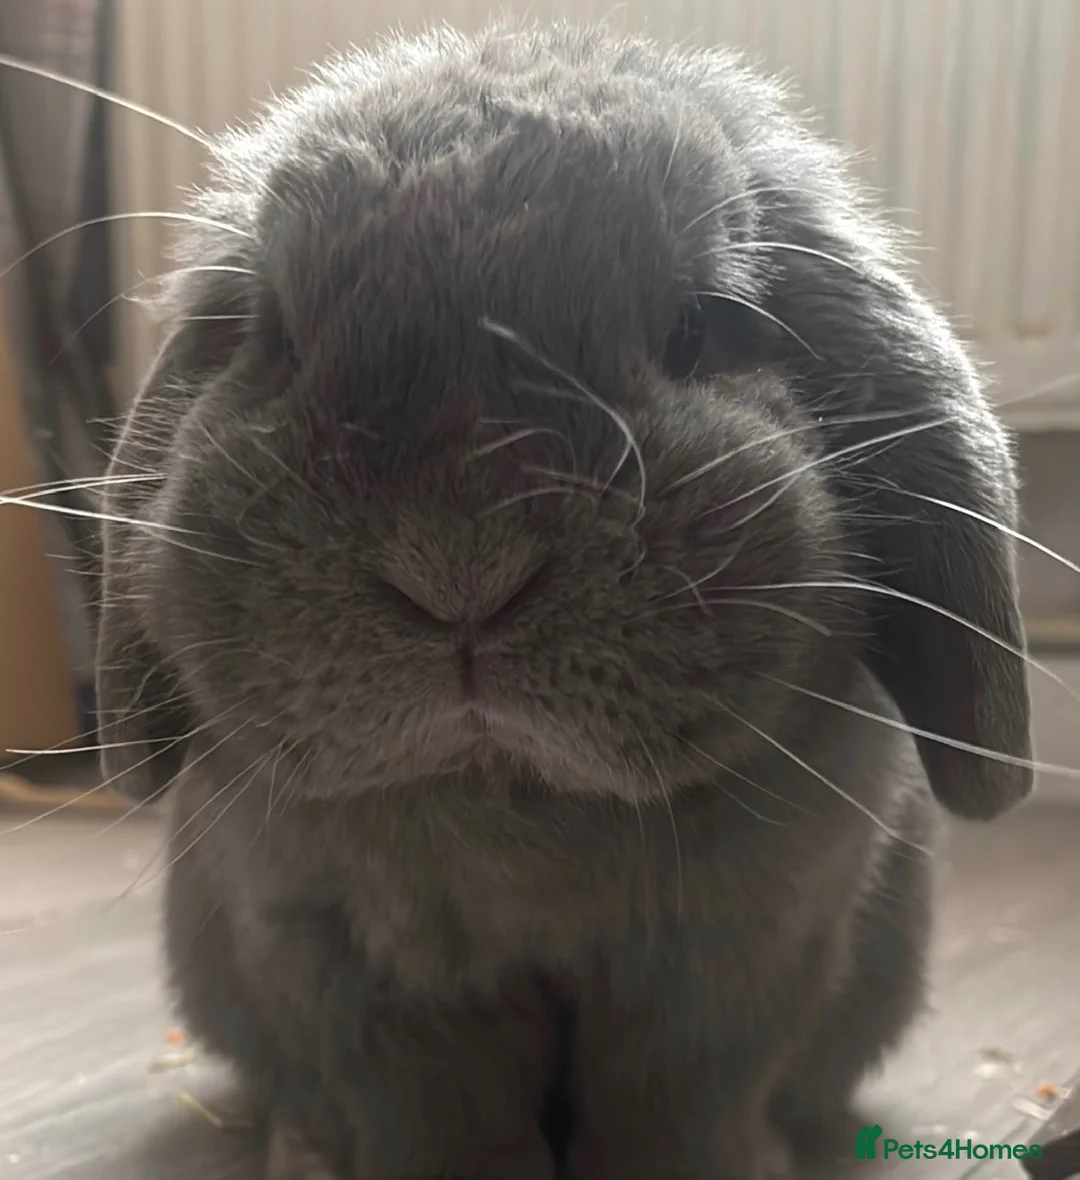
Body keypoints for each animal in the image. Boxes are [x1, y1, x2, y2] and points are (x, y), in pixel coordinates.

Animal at [94, 22, 1034, 1180]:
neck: (517, 806)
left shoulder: (739, 960)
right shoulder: (343, 962)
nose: (459, 568)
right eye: (275, 337)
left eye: (700, 327)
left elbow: (677, 1109)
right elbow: (433, 1119)